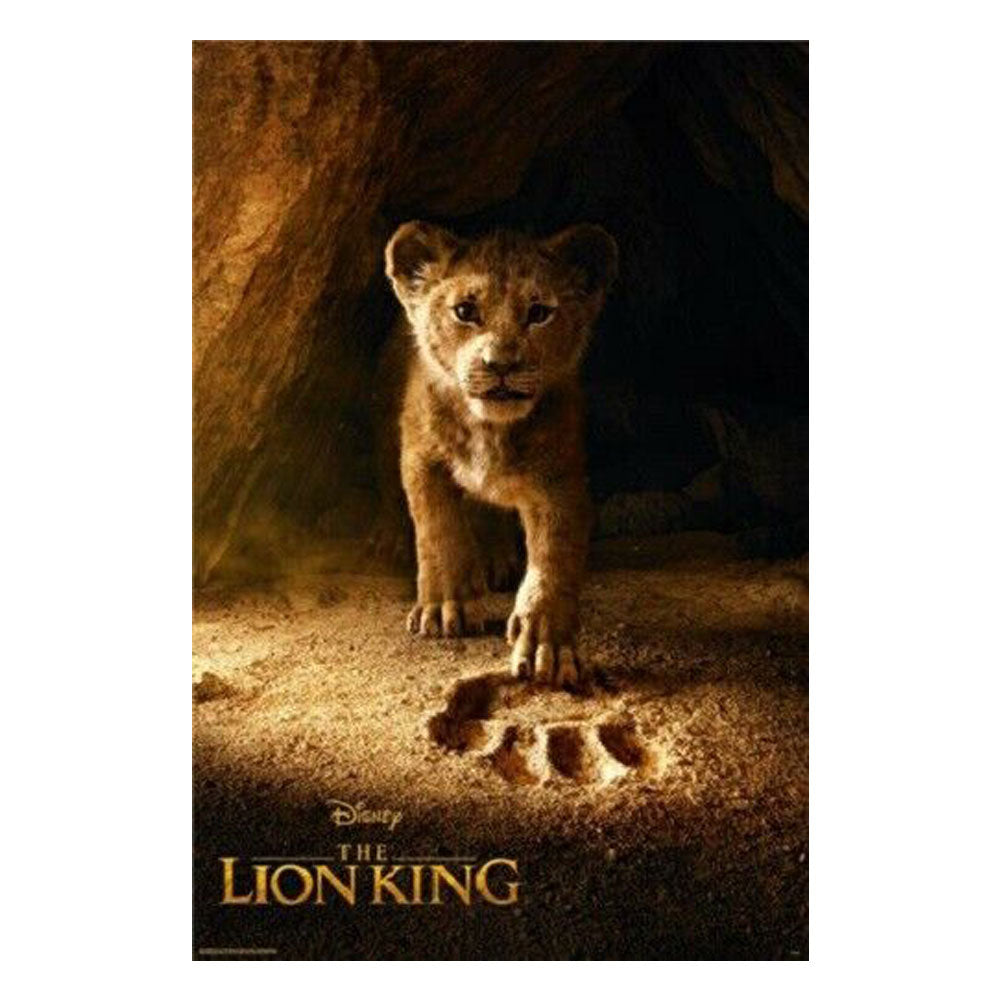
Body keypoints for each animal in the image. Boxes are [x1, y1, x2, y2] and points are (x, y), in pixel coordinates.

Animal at [383, 221, 618, 688]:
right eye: (464, 311)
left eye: (539, 313)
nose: (501, 364)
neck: (490, 429)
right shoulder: (421, 456)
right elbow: (438, 530)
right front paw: (446, 607)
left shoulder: (560, 480)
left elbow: (554, 559)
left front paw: (548, 645)